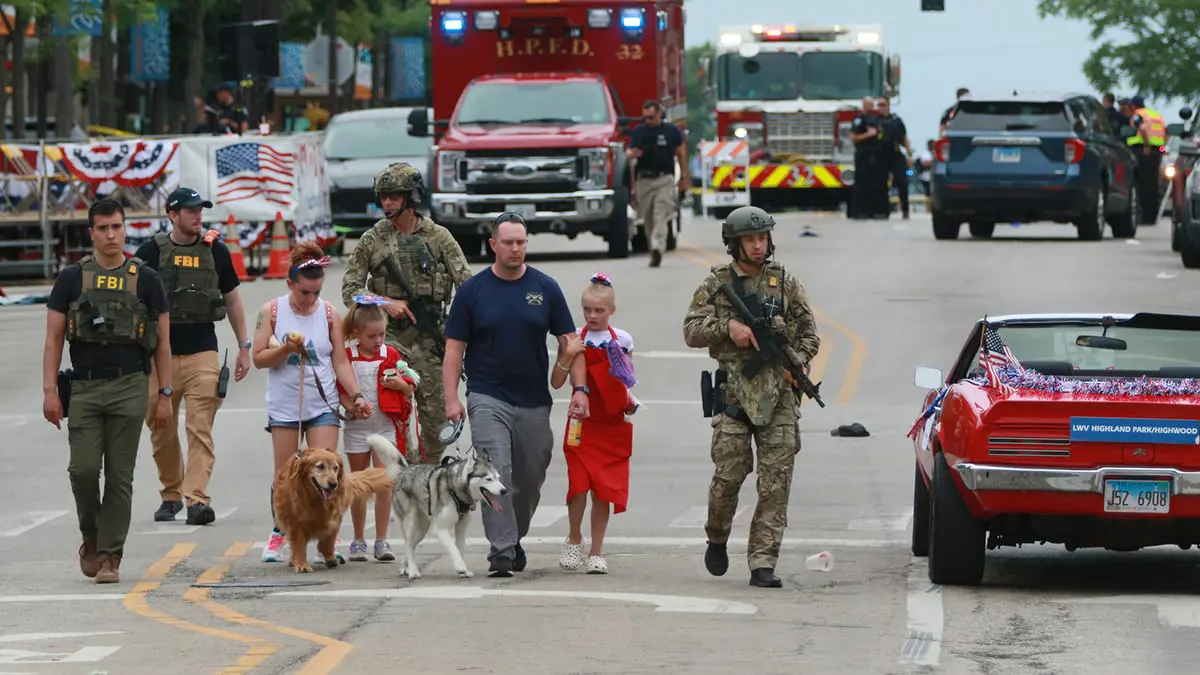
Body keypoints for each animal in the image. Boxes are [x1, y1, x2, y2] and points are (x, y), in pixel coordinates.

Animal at [364, 432, 506, 576]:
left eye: (498, 478)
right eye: (488, 479)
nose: (504, 490)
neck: (456, 490)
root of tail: (404, 470)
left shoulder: (461, 528)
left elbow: (460, 549)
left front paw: (464, 571)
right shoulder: (440, 529)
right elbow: (453, 548)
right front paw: (460, 566)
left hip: (421, 529)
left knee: (411, 547)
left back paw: (404, 567)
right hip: (410, 522)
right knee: (408, 546)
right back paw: (413, 571)